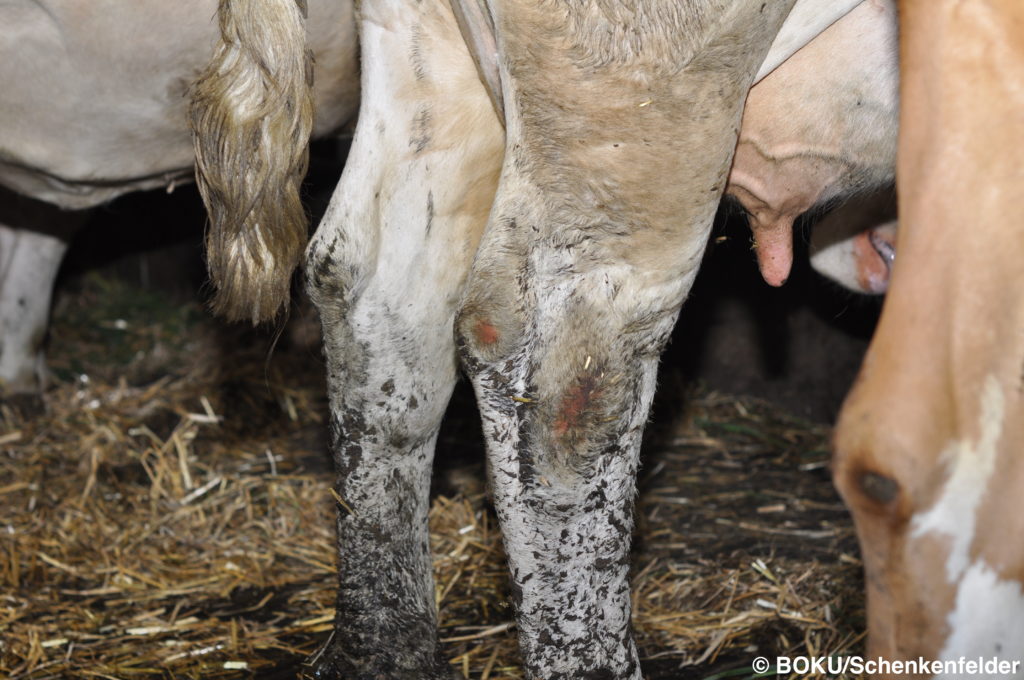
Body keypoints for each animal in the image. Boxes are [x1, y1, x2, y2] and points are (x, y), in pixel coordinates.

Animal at [191, 1, 908, 678]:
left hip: (433, 67)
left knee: (376, 293)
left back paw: (384, 651)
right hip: (638, 105)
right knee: (569, 364)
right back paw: (589, 657)